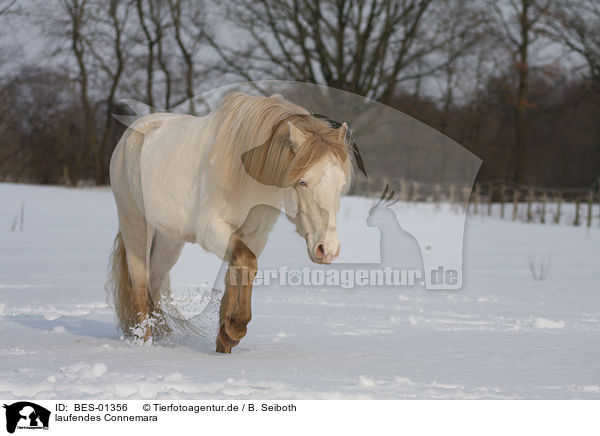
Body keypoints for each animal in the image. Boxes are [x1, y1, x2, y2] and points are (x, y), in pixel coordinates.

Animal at [108, 92, 354, 350]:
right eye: (303, 181)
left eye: (340, 183)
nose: (327, 249)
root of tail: (134, 131)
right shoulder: (212, 230)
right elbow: (247, 261)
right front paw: (235, 327)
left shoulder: (254, 235)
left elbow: (239, 274)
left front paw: (226, 338)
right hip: (136, 226)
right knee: (140, 291)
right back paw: (145, 346)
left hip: (169, 238)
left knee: (153, 286)